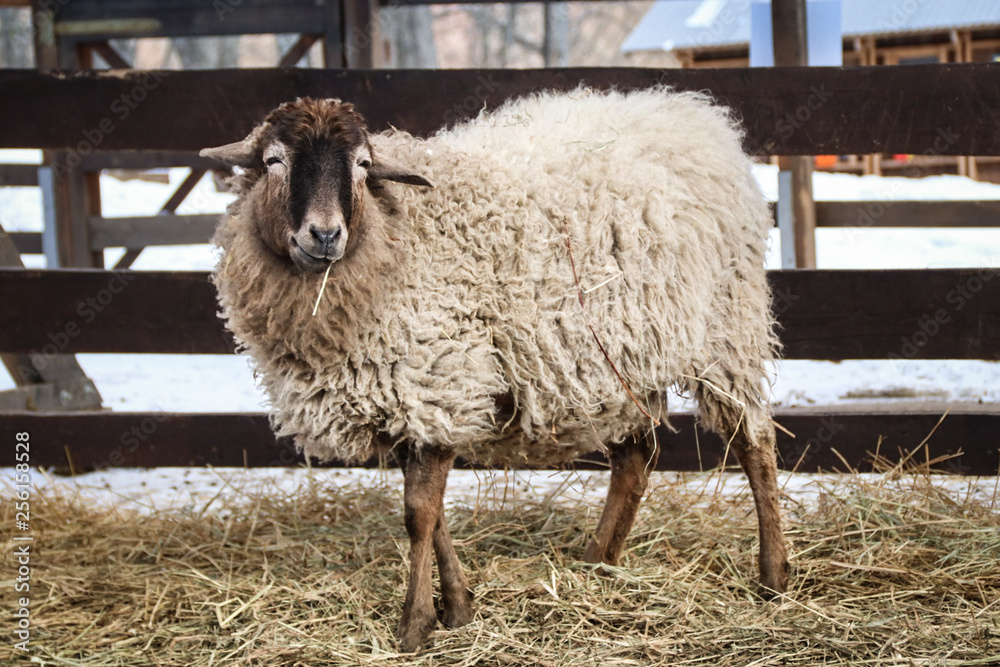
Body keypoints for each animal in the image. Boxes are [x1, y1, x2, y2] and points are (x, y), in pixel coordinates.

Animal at [202, 87, 789, 652]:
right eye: (274, 161)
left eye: (364, 165)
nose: (324, 236)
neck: (394, 238)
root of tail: (697, 116)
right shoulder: (409, 399)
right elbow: (433, 511)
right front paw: (459, 608)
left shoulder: (439, 380)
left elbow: (419, 513)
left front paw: (415, 625)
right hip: (619, 357)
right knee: (635, 460)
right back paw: (598, 561)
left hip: (728, 328)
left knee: (753, 442)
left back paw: (773, 576)